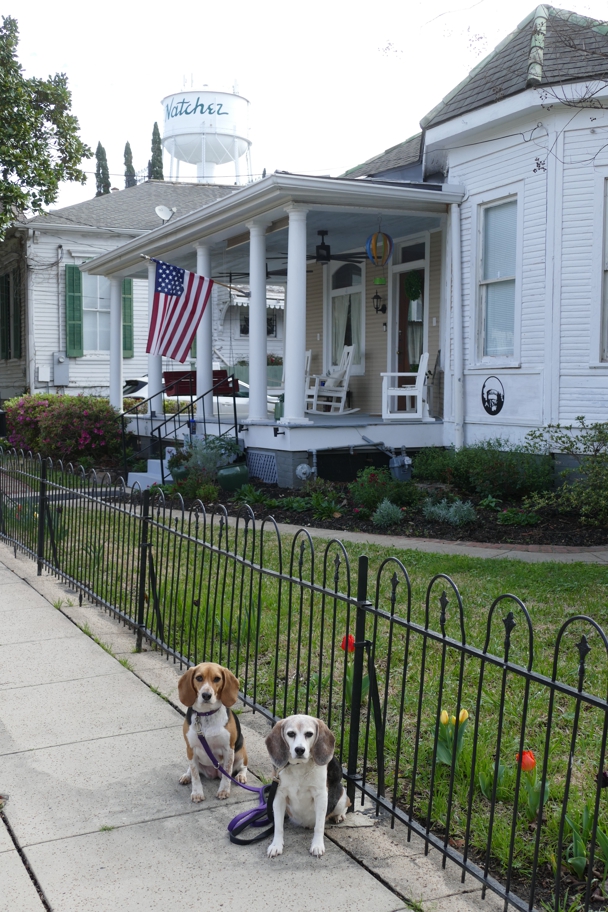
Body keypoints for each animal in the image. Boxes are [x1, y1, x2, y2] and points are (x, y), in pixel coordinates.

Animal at [177, 660, 248, 800]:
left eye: (217, 679)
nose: (206, 695)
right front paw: (197, 793)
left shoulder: (228, 750)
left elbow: (227, 773)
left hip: (240, 752)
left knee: (242, 767)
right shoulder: (191, 749)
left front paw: (224, 790)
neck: (206, 714)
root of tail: (214, 773)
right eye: (199, 678)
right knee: (192, 769)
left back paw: (241, 776)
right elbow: (195, 775)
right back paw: (186, 775)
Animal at [266, 716, 352, 860]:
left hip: (341, 798)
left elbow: (319, 826)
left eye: (309, 734)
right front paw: (276, 845)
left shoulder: (321, 796)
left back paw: (339, 816)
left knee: (346, 805)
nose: (300, 750)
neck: (299, 766)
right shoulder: (279, 796)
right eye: (291, 734)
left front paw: (317, 845)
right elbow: (278, 826)